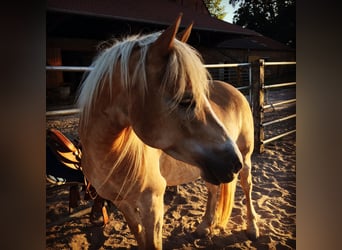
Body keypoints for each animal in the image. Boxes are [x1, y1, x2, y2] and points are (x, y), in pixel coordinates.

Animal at [77, 14, 260, 249]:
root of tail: (235, 91)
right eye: (186, 100)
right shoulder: (123, 204)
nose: (233, 162)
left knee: (247, 187)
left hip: (245, 159)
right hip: (209, 169)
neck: (111, 155)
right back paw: (205, 226)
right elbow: (139, 237)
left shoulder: (153, 204)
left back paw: (252, 228)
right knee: (213, 189)